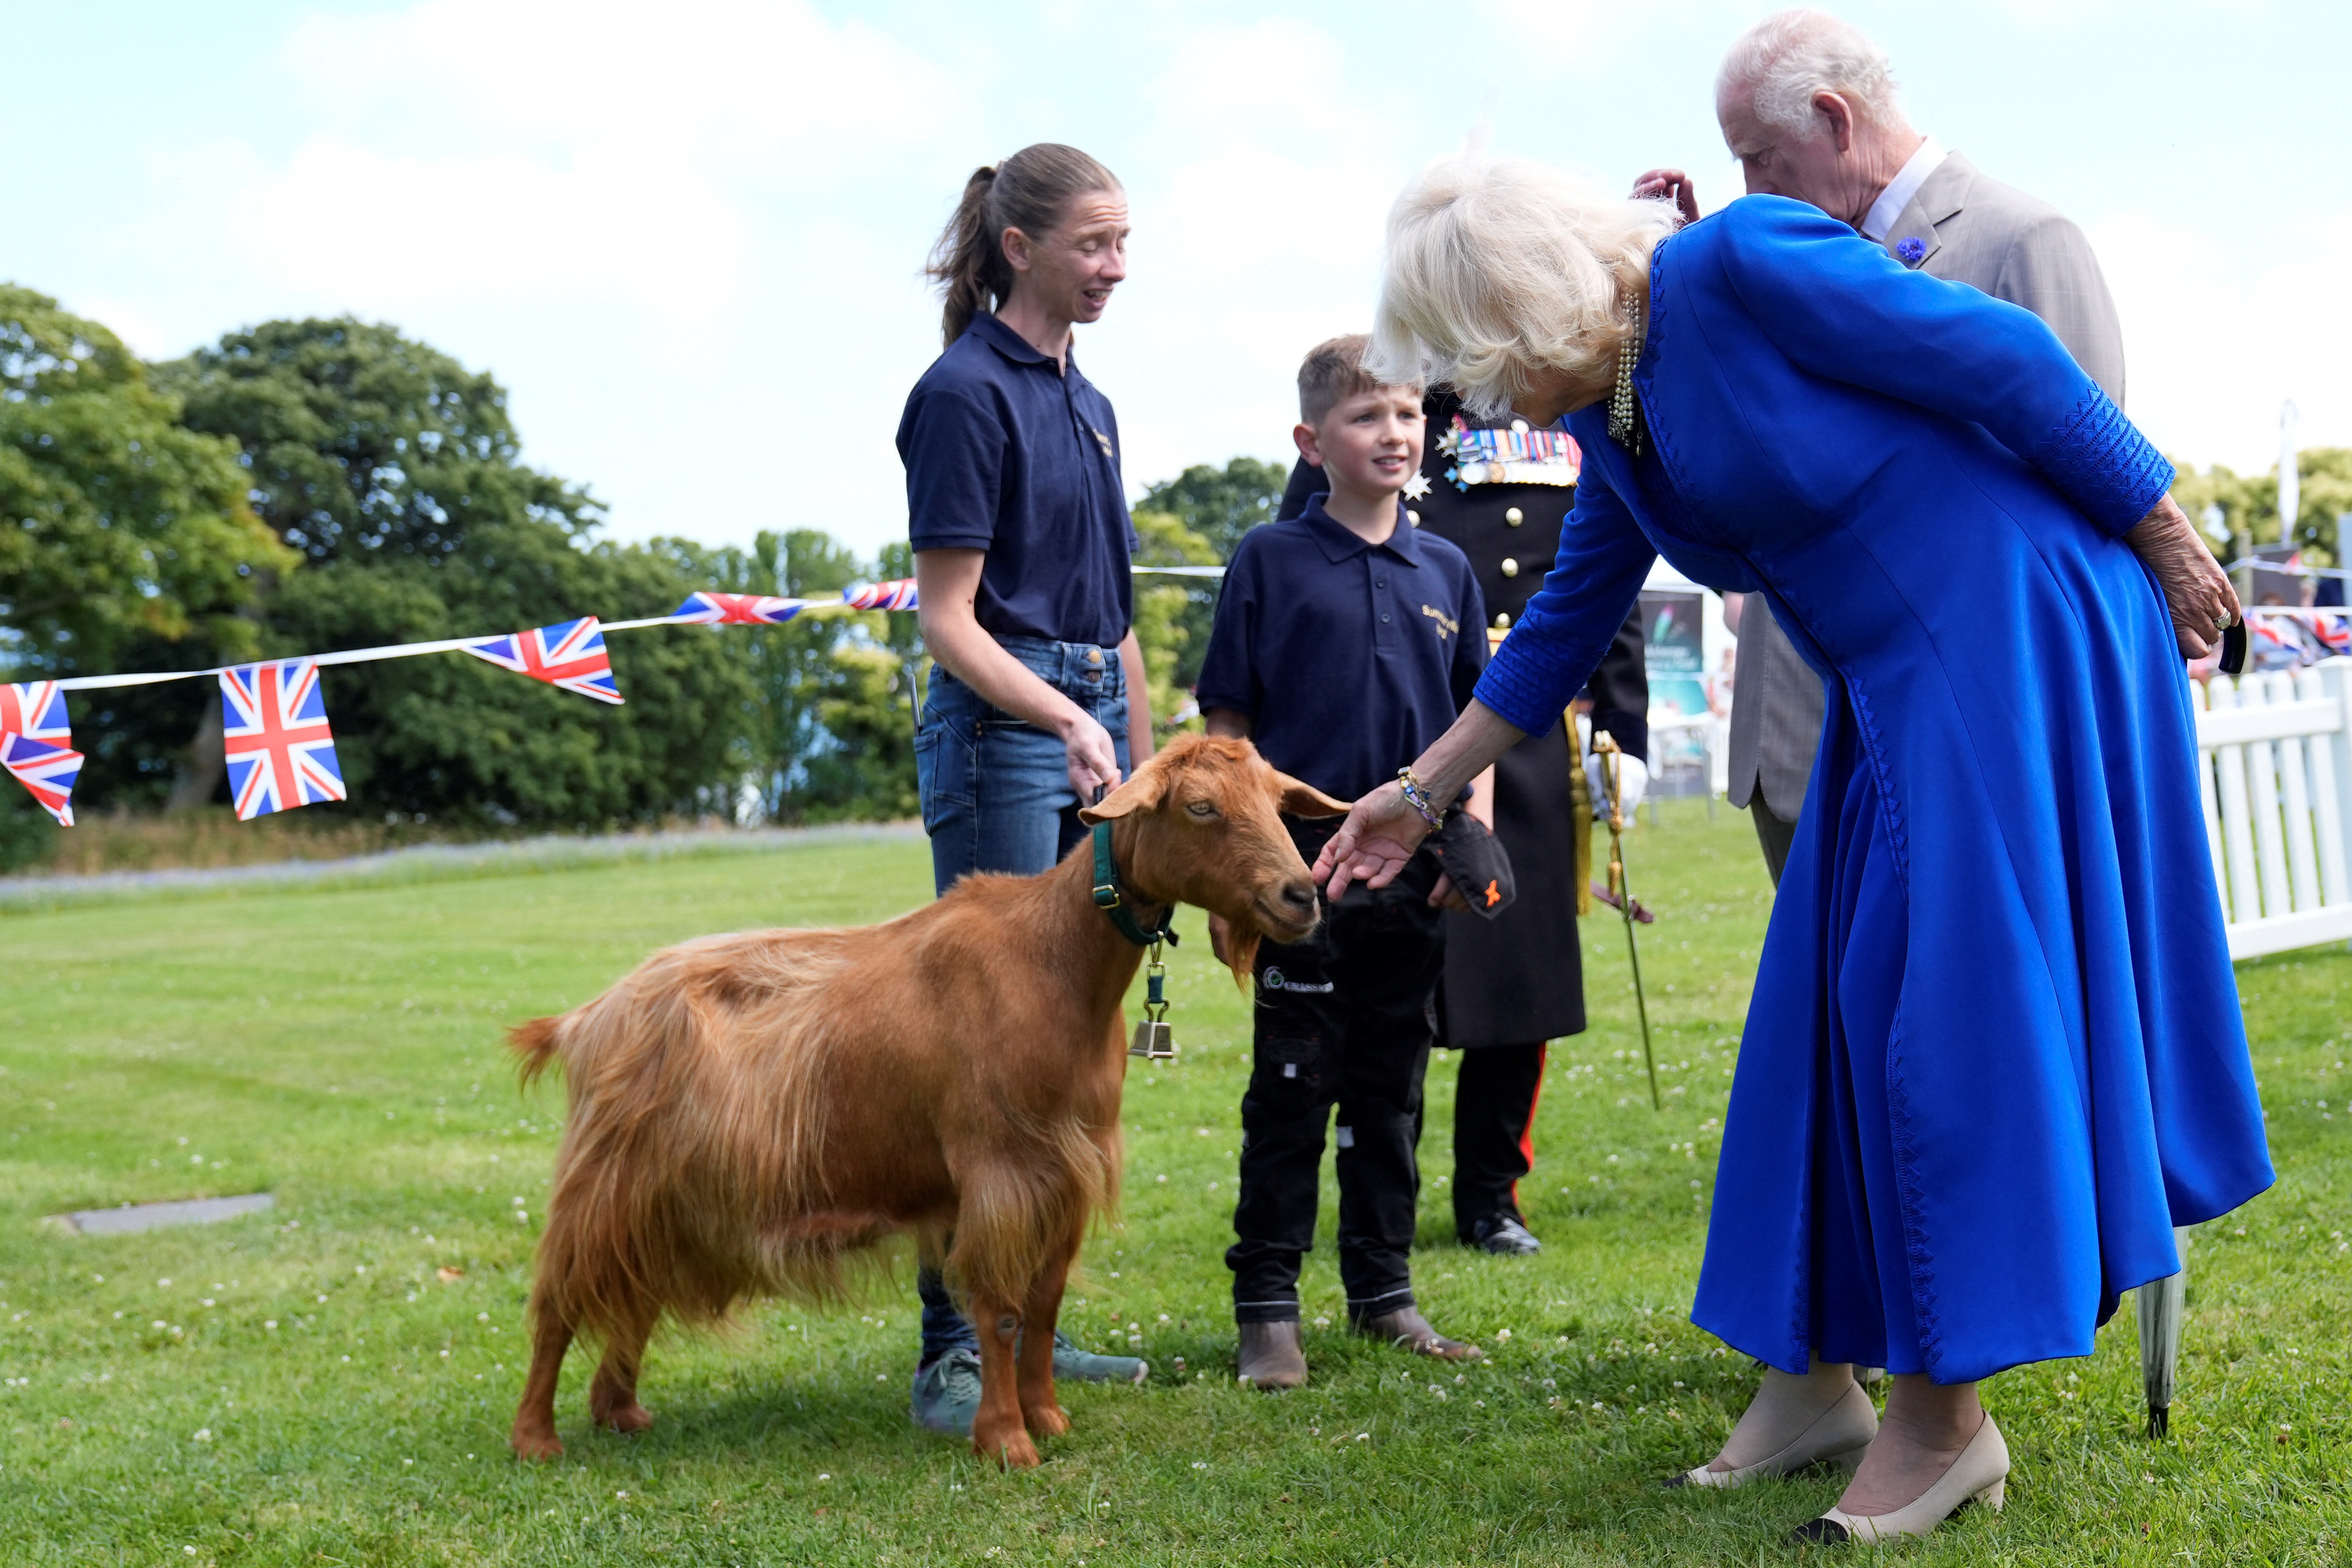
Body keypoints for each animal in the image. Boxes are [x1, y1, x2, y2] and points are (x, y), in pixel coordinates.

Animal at [501, 738, 1345, 1476]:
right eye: (1201, 807)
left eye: (1278, 802)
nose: (1302, 895)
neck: (1054, 962)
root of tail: (586, 1017)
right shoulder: (1000, 1171)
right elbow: (1001, 1312)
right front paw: (1007, 1442)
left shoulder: (1067, 1172)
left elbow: (1044, 1304)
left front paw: (1047, 1417)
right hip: (605, 1180)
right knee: (559, 1302)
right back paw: (536, 1438)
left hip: (666, 1195)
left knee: (633, 1292)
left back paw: (620, 1411)